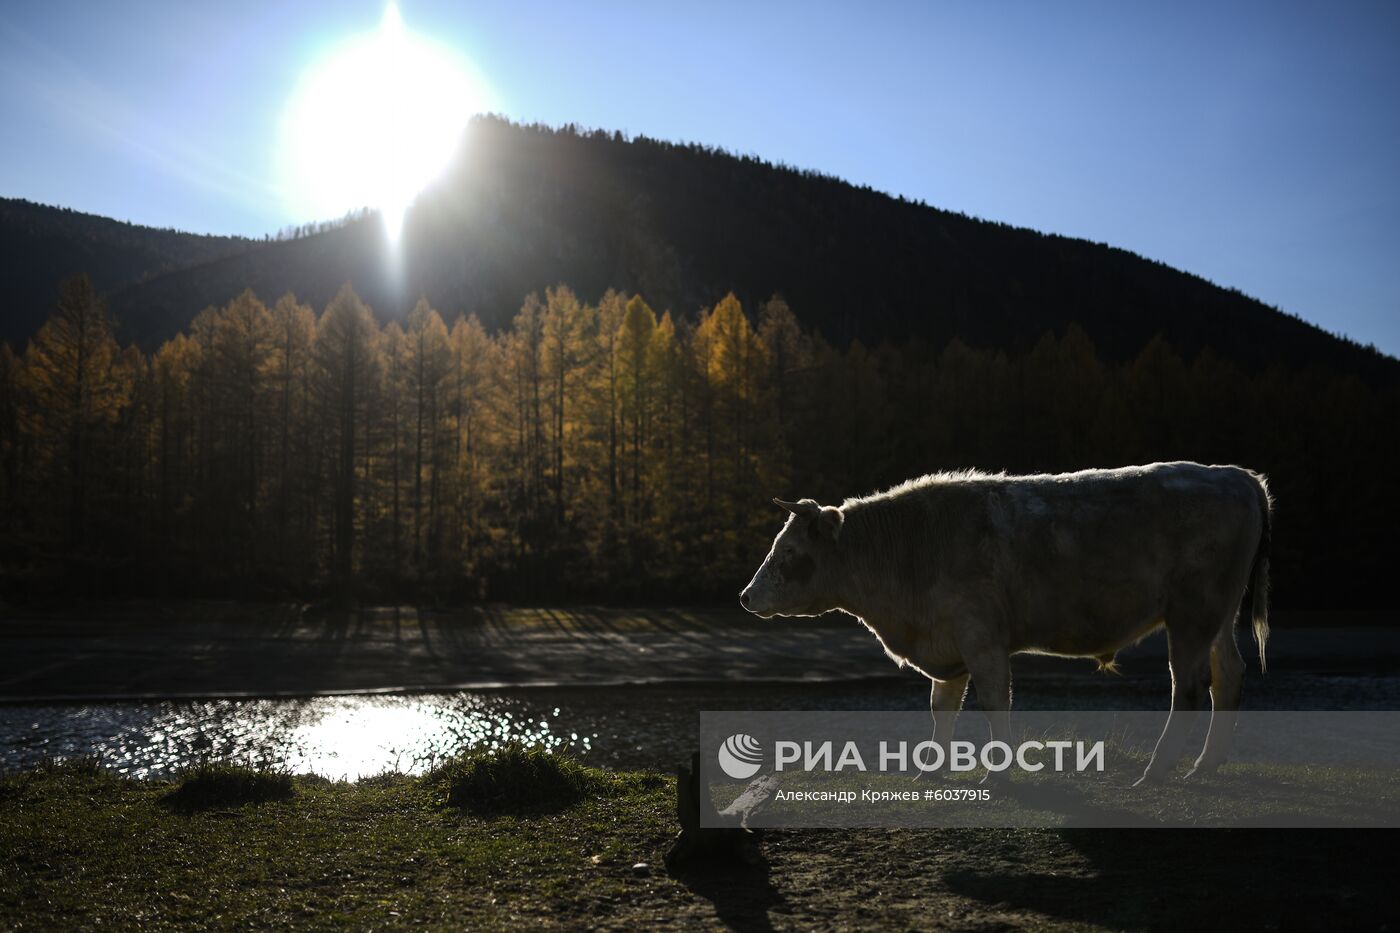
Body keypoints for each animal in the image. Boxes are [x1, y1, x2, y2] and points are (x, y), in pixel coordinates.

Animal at [739, 462, 1276, 778]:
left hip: (1192, 613)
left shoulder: (981, 639)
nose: (746, 596)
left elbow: (996, 703)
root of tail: (1238, 475)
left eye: (789, 552)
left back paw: (1159, 772)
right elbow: (942, 708)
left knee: (1189, 686)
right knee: (1229, 674)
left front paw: (999, 772)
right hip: (1218, 617)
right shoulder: (948, 643)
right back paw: (1205, 766)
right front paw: (930, 772)